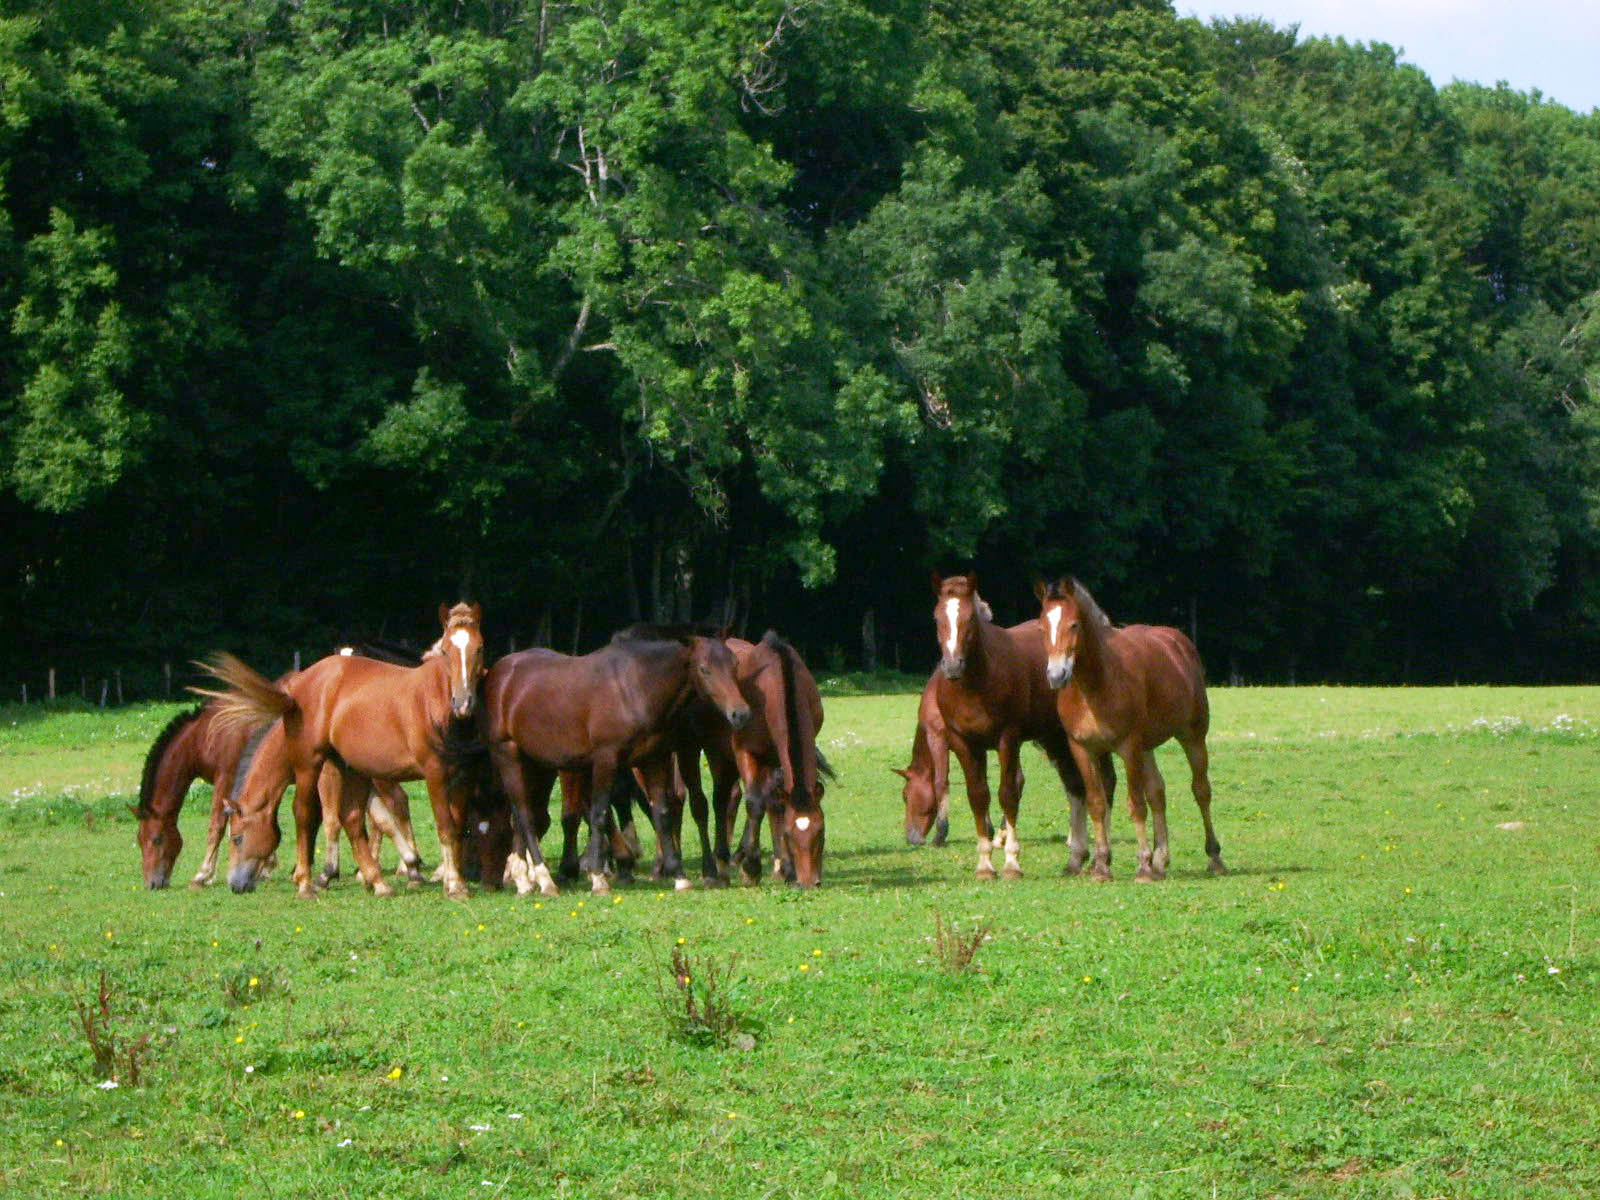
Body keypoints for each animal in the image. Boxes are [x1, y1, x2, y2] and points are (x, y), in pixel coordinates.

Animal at [196, 604, 480, 896]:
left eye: (238, 838)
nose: (236, 884)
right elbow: (365, 818)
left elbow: (327, 817)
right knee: (356, 816)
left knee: (313, 812)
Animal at [480, 630, 748, 896]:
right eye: (704, 669)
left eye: (735, 665)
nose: (740, 713)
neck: (635, 689)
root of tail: (501, 671)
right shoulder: (605, 761)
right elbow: (599, 813)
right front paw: (599, 878)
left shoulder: (654, 760)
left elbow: (662, 814)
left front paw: (679, 876)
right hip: (509, 755)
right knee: (526, 816)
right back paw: (545, 880)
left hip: (534, 764)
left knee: (522, 816)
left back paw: (523, 880)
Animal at [928, 572, 1113, 883]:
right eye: (937, 617)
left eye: (969, 618)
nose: (953, 666)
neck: (975, 685)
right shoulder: (964, 743)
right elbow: (978, 797)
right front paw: (984, 865)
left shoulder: (1008, 739)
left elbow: (1007, 794)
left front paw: (1011, 863)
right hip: (1057, 739)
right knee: (1076, 788)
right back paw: (1076, 858)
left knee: (1105, 783)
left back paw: (1097, 861)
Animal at [1036, 582, 1222, 883]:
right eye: (1042, 627)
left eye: (1074, 625)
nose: (1056, 675)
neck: (1095, 686)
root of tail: (1179, 642)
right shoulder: (1084, 749)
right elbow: (1097, 803)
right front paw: (1102, 866)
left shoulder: (1128, 747)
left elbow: (1136, 804)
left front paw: (1143, 866)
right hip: (1147, 749)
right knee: (1158, 792)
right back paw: (1161, 859)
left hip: (1192, 737)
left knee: (1201, 790)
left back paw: (1214, 857)